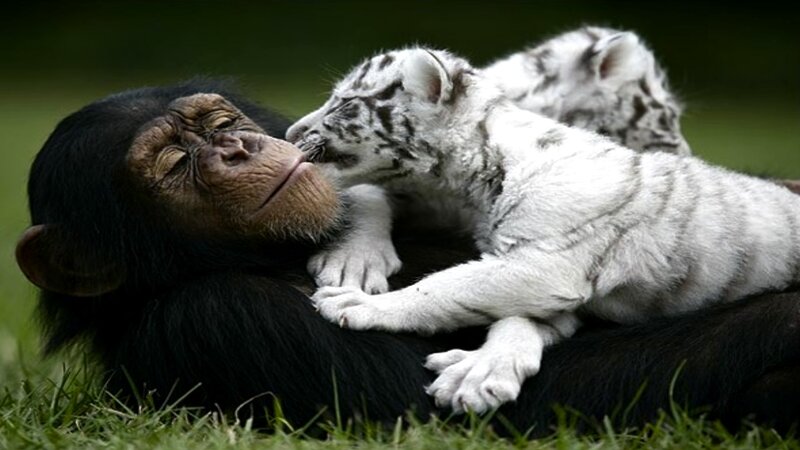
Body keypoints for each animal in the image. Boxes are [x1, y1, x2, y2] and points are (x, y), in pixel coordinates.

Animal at [285, 45, 800, 415]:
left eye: (345, 103)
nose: (290, 133)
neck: (477, 174)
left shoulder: (547, 263)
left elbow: (445, 287)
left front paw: (357, 305)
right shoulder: (543, 279)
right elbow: (515, 318)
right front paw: (479, 371)